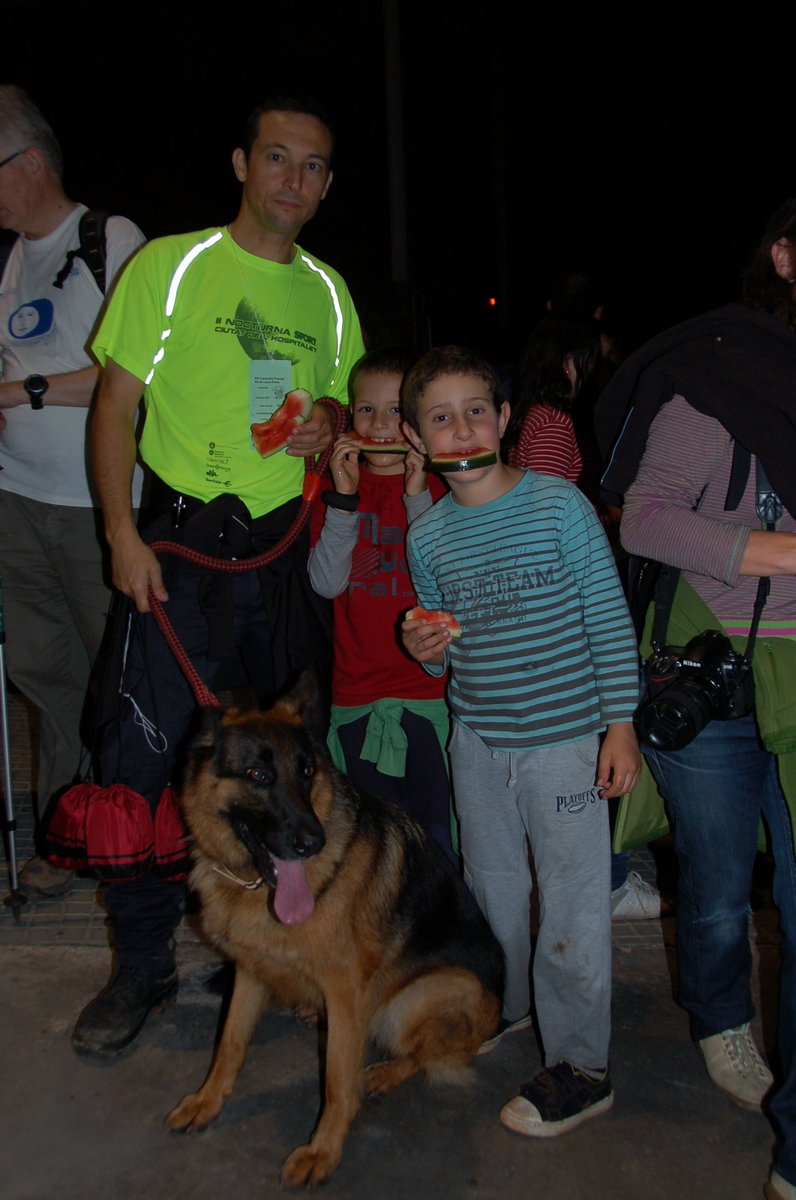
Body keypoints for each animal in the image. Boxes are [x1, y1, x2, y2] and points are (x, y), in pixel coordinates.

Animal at [165, 673, 504, 1187]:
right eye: (258, 776)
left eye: (306, 772)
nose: (313, 842)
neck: (252, 883)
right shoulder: (249, 973)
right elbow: (230, 1044)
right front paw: (207, 1101)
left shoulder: (346, 993)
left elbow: (338, 1081)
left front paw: (322, 1150)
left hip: (427, 995)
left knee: (431, 1056)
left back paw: (386, 1072)